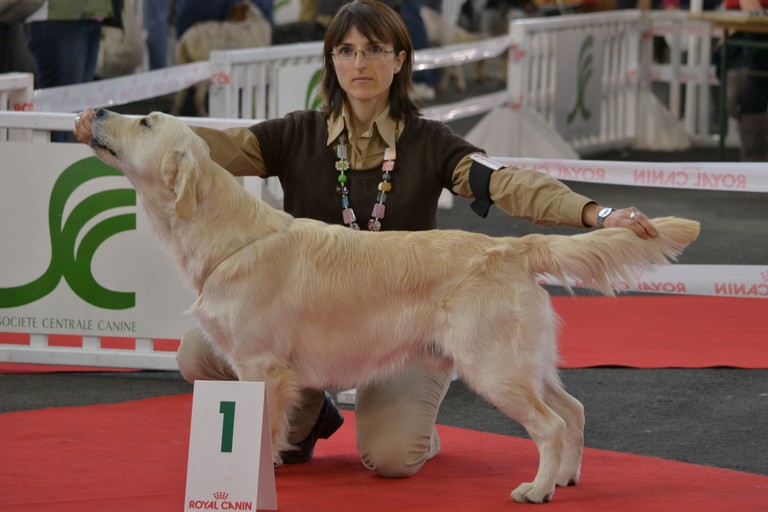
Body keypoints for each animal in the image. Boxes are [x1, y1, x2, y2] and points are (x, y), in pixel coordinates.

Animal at [90, 109, 704, 504]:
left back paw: (538, 489)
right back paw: (567, 479)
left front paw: (255, 474)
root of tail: (512, 245)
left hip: (493, 367)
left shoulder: (262, 368)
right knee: (572, 409)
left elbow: (261, 428)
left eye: (145, 122)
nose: (94, 111)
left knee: (551, 425)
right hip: (525, 361)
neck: (230, 236)